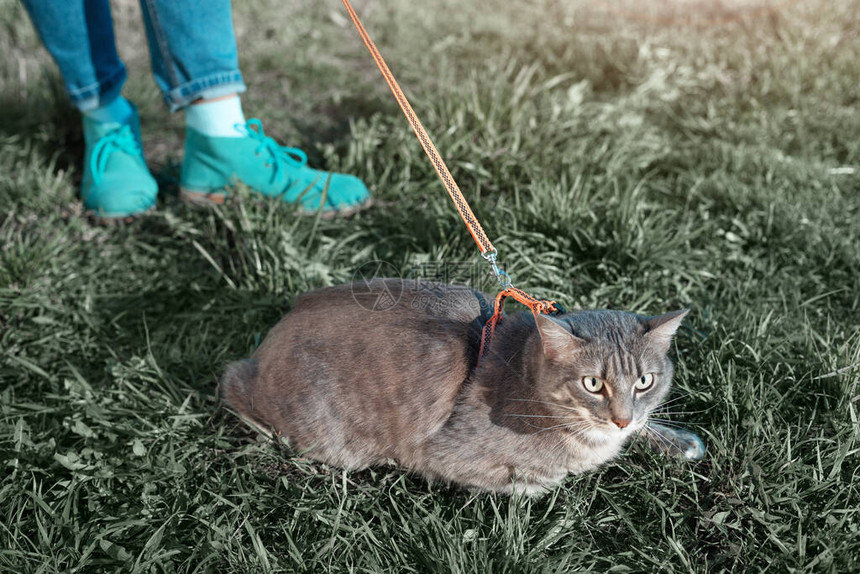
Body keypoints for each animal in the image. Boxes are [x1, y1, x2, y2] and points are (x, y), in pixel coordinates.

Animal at [218, 282, 704, 498]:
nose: (621, 418)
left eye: (644, 381)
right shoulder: (441, 454)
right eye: (593, 383)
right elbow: (519, 479)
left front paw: (671, 439)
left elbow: (646, 426)